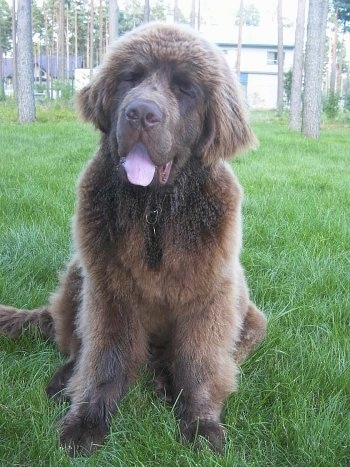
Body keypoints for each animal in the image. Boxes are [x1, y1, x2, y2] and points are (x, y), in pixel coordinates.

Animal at [0, 23, 266, 456]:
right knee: (75, 345)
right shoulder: (109, 289)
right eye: (131, 77)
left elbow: (199, 361)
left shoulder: (209, 296)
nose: (141, 113)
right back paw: (65, 382)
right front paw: (86, 422)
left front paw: (201, 424)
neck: (154, 210)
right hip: (78, 274)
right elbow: (104, 358)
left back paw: (163, 382)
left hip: (253, 321)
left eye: (185, 88)